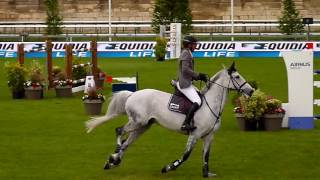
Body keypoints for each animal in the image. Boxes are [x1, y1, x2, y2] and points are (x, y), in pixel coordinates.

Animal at [85, 62, 255, 177]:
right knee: (119, 131)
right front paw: (168, 168)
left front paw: (206, 174)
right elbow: (185, 155)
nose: (251, 91)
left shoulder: (208, 136)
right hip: (137, 122)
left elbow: (206, 156)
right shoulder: (195, 134)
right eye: (237, 77)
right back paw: (114, 156)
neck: (210, 105)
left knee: (127, 142)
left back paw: (113, 160)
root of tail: (132, 94)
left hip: (143, 126)